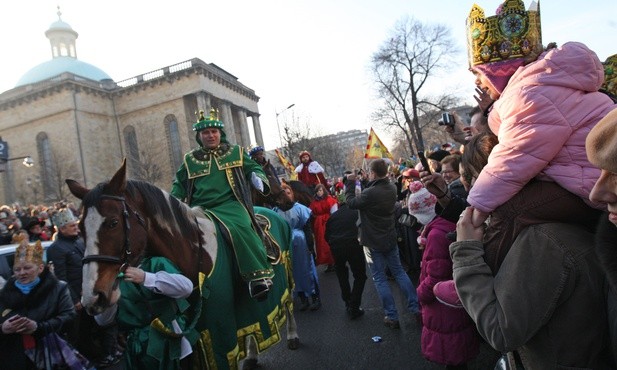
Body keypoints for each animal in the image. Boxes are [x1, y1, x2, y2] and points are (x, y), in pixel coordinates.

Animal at [66, 161, 298, 370]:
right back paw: (251, 354)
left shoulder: (218, 326)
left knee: (288, 303)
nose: (92, 297)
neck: (193, 249)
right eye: (81, 229)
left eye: (113, 222)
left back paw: (292, 335)